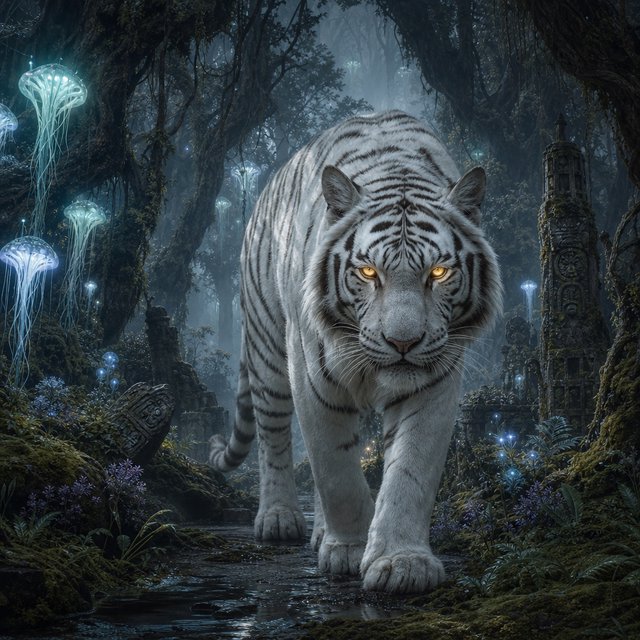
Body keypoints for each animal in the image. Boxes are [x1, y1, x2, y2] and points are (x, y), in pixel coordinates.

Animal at [210, 110, 502, 594]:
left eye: (439, 273)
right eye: (368, 272)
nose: (403, 342)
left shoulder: (434, 382)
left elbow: (409, 471)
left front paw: (401, 562)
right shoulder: (312, 378)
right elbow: (335, 471)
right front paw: (348, 550)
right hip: (268, 350)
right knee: (273, 438)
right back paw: (279, 518)